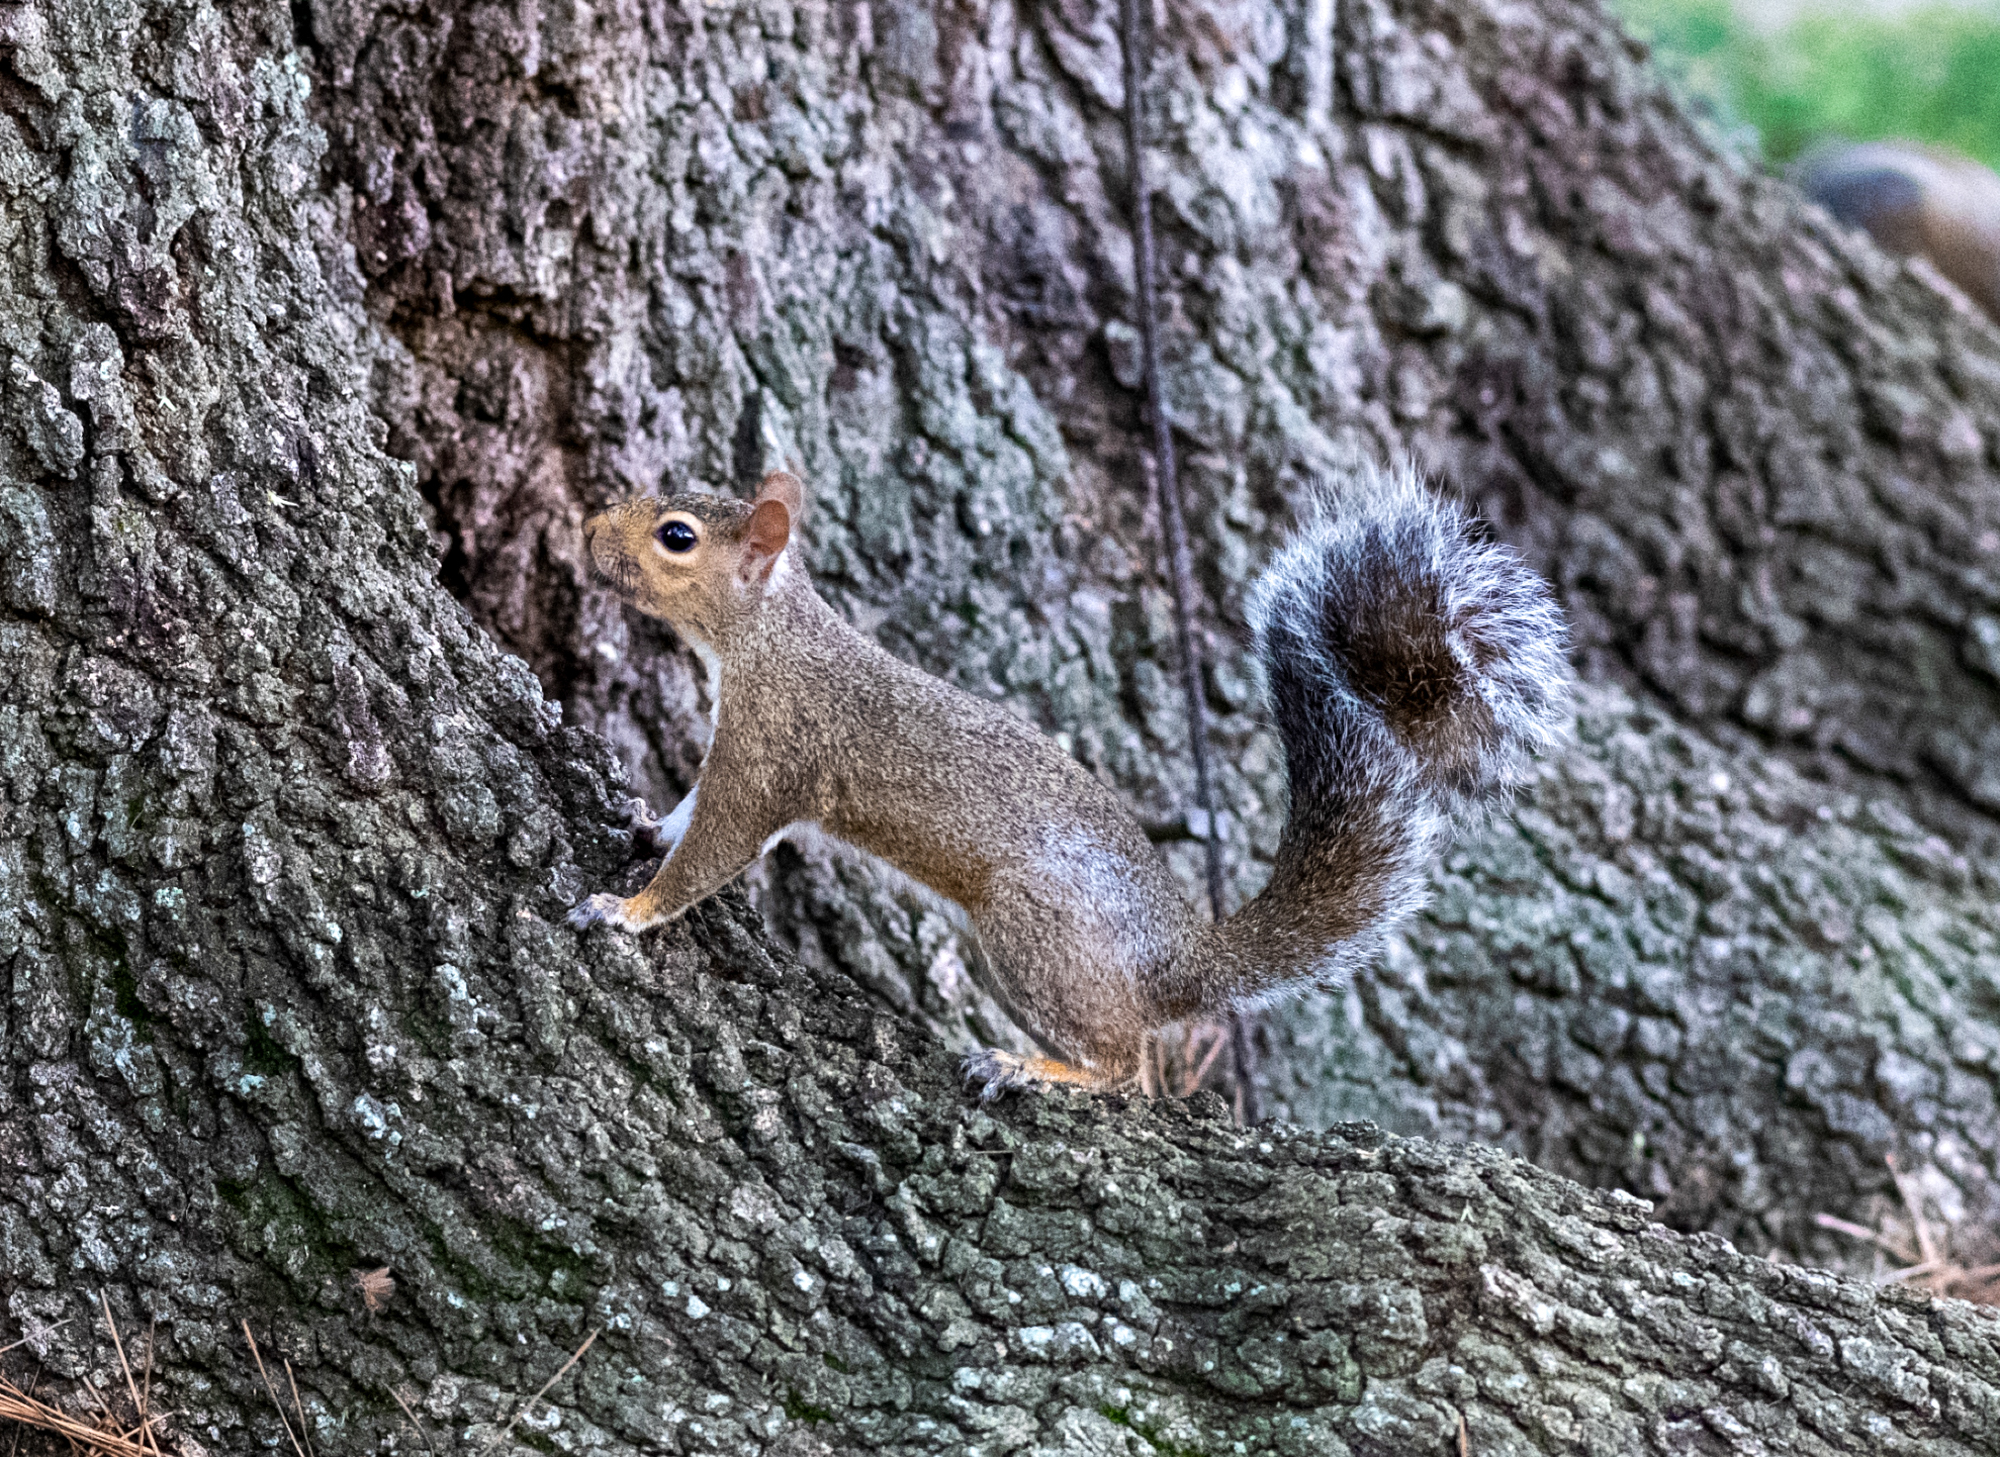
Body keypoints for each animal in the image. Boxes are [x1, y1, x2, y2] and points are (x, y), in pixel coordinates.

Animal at [572, 460, 1568, 1096]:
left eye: (675, 536)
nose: (586, 530)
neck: (769, 634)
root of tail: (1178, 961)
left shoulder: (773, 744)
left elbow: (719, 841)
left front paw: (630, 908)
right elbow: (693, 814)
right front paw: (648, 823)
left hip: (1032, 929)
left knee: (1127, 1070)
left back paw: (1034, 1069)